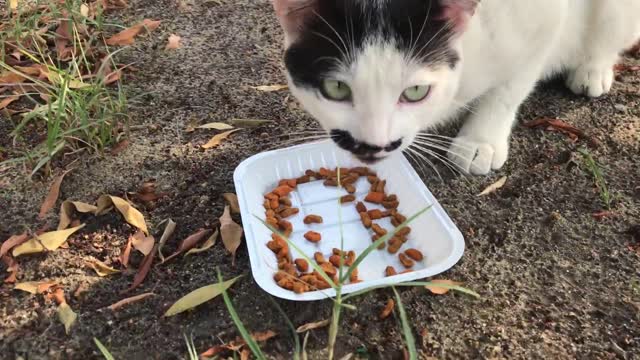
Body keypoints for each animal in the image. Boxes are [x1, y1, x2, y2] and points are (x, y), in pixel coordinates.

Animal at [268, 0, 640, 174]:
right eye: (336, 89)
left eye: (415, 92)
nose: (372, 145)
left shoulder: (542, 20)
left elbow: (511, 87)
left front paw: (481, 141)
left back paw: (593, 68)